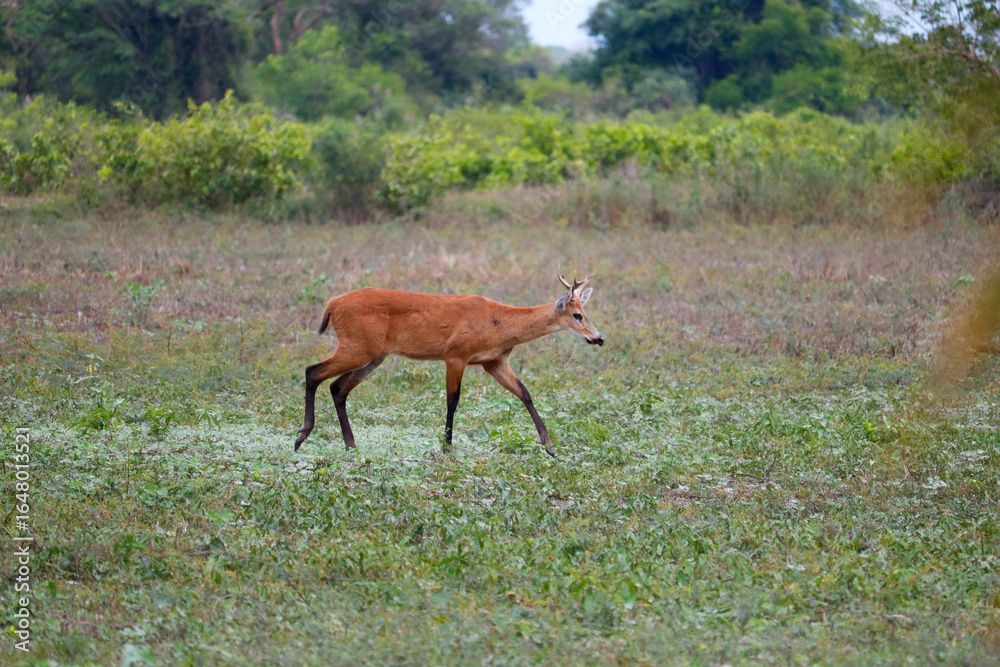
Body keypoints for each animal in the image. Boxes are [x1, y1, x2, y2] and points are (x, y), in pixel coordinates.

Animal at [294, 273, 604, 458]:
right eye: (577, 315)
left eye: (585, 312)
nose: (599, 338)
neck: (500, 324)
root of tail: (332, 304)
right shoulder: (455, 354)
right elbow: (452, 400)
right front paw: (447, 446)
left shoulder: (494, 362)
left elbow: (525, 393)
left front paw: (548, 444)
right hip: (357, 346)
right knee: (313, 371)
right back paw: (301, 437)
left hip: (373, 355)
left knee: (338, 388)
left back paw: (350, 445)